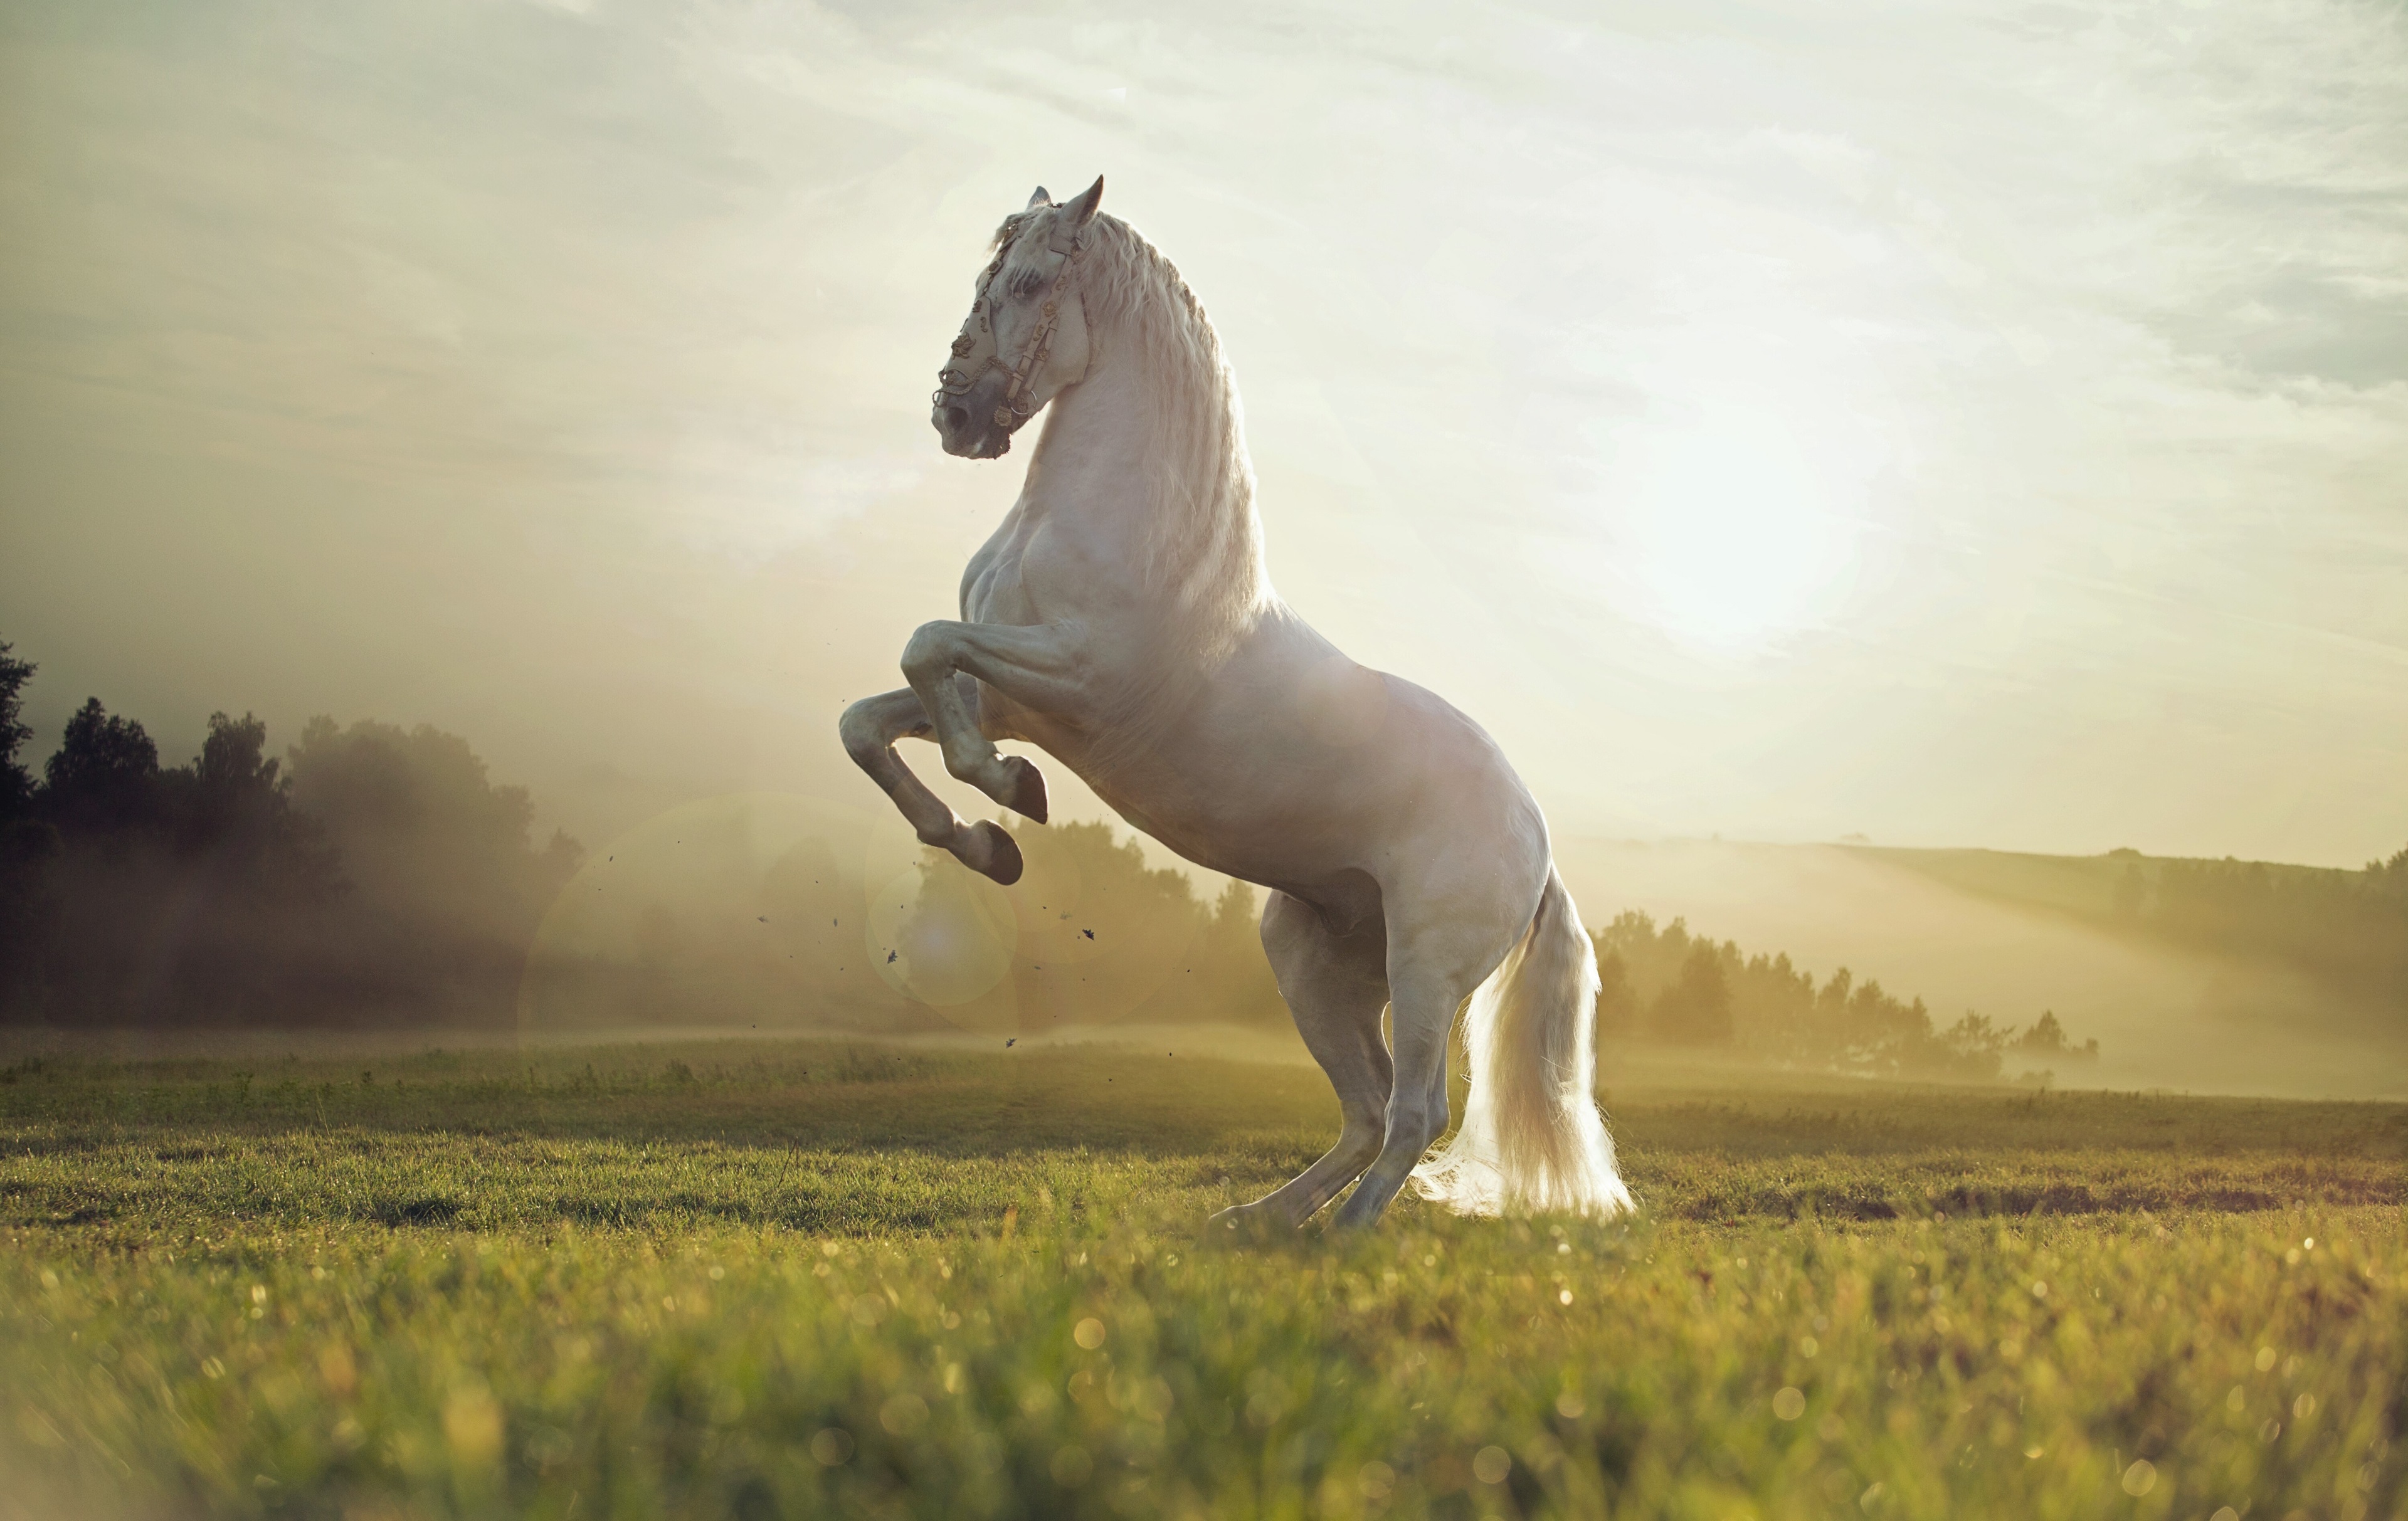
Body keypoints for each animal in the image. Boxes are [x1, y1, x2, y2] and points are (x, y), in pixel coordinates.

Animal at [839, 178, 1632, 1230]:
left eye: (1033, 281)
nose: (955, 413)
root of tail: (1535, 844)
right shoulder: (1005, 695)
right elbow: (872, 718)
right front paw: (985, 841)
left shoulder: (1074, 679)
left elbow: (927, 650)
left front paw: (1010, 797)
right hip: (1312, 959)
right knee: (1366, 1110)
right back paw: (1256, 1222)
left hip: (1426, 969)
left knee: (1415, 1111)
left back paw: (1341, 1238)